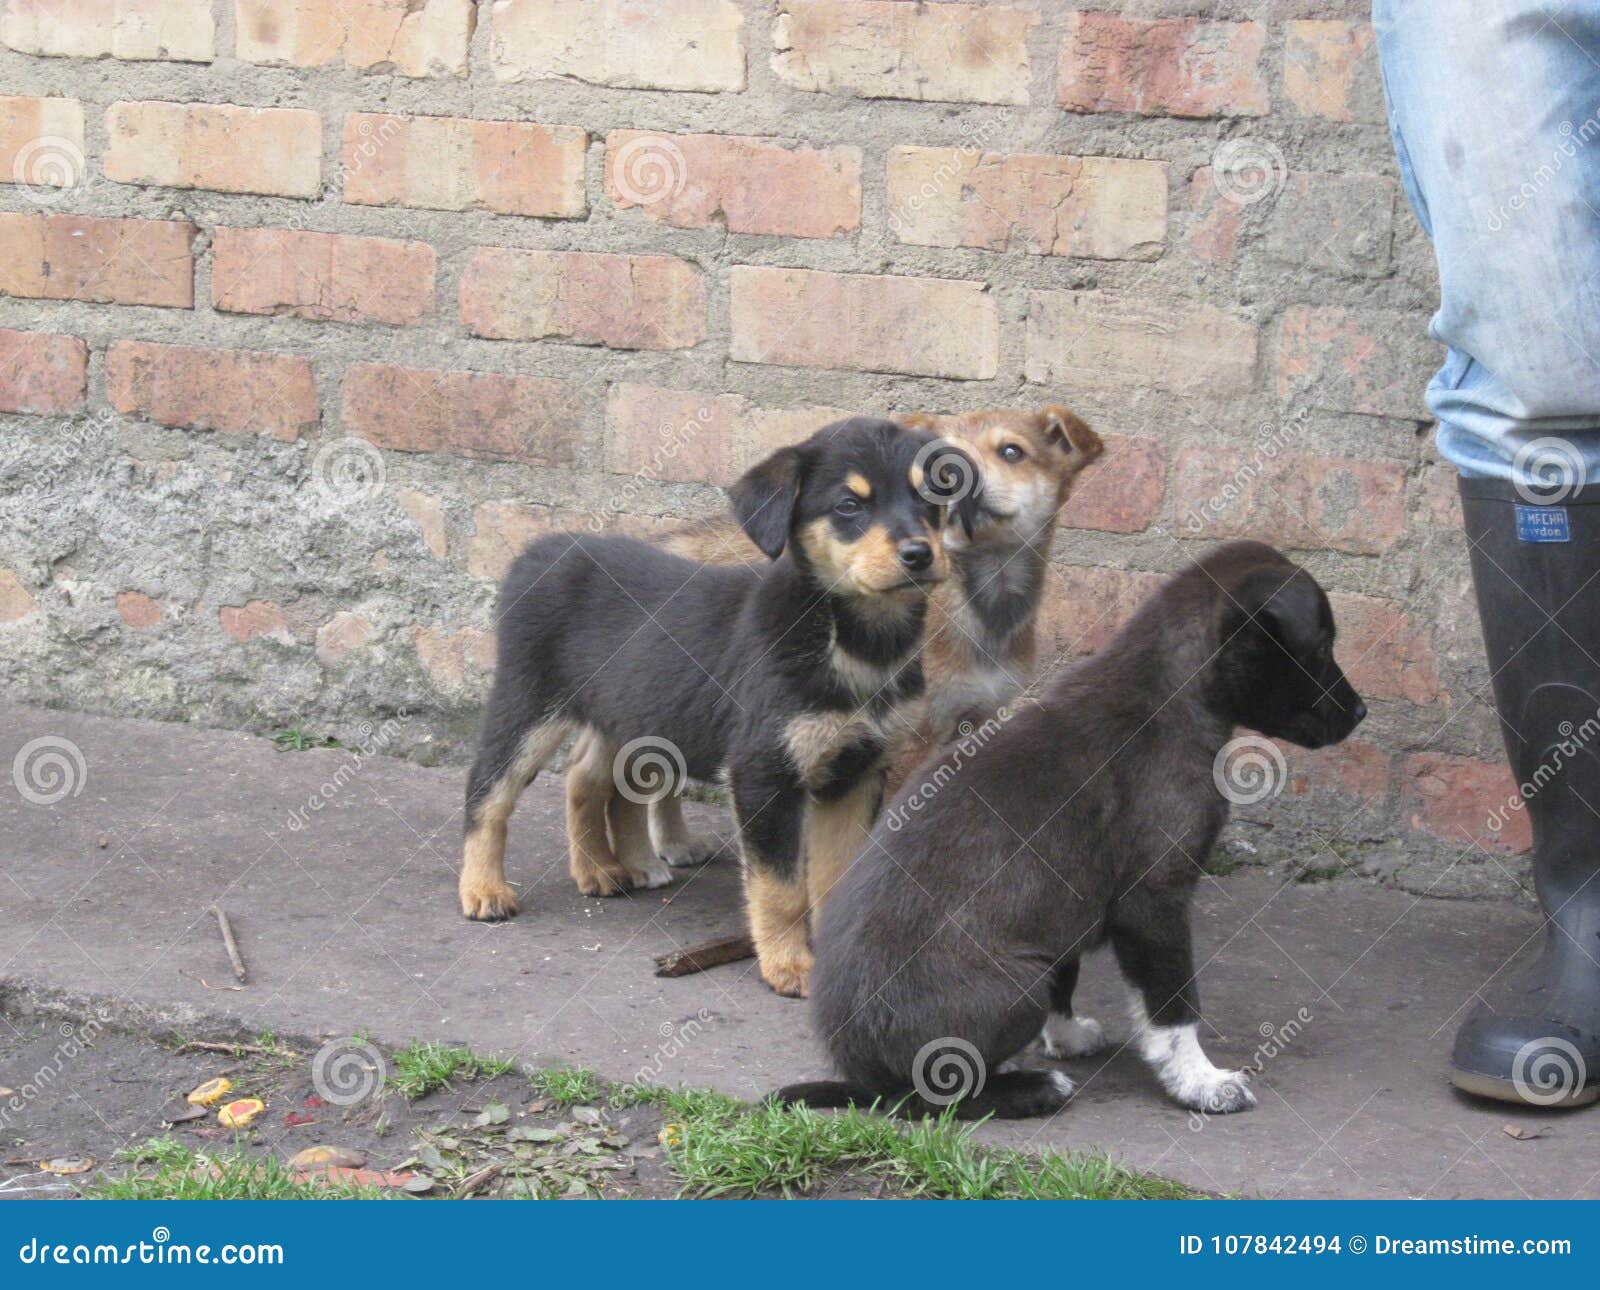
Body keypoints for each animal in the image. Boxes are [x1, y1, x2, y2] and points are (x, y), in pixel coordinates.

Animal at [454, 416, 972, 998]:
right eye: (847, 506)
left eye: (929, 498)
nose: (919, 555)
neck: (851, 641)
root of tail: (540, 552)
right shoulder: (763, 772)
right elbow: (780, 887)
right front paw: (788, 966)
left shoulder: (857, 771)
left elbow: (835, 874)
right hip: (528, 703)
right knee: (487, 791)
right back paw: (484, 890)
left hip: (628, 711)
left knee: (585, 777)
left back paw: (598, 870)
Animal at [563, 409, 1100, 902]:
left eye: (1012, 451)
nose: (960, 475)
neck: (979, 603)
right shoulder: (904, 742)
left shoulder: (972, 724)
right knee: (594, 772)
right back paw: (619, 863)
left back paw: (666, 845)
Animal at [780, 544, 1369, 1120]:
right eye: (1320, 650)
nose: (1361, 712)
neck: (1171, 690)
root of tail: (861, 1072)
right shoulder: (1155, 901)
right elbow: (1174, 1005)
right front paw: (1200, 1082)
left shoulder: (1064, 902)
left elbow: (1067, 973)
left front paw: (1065, 1037)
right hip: (1017, 984)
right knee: (932, 1094)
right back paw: (1034, 1089)